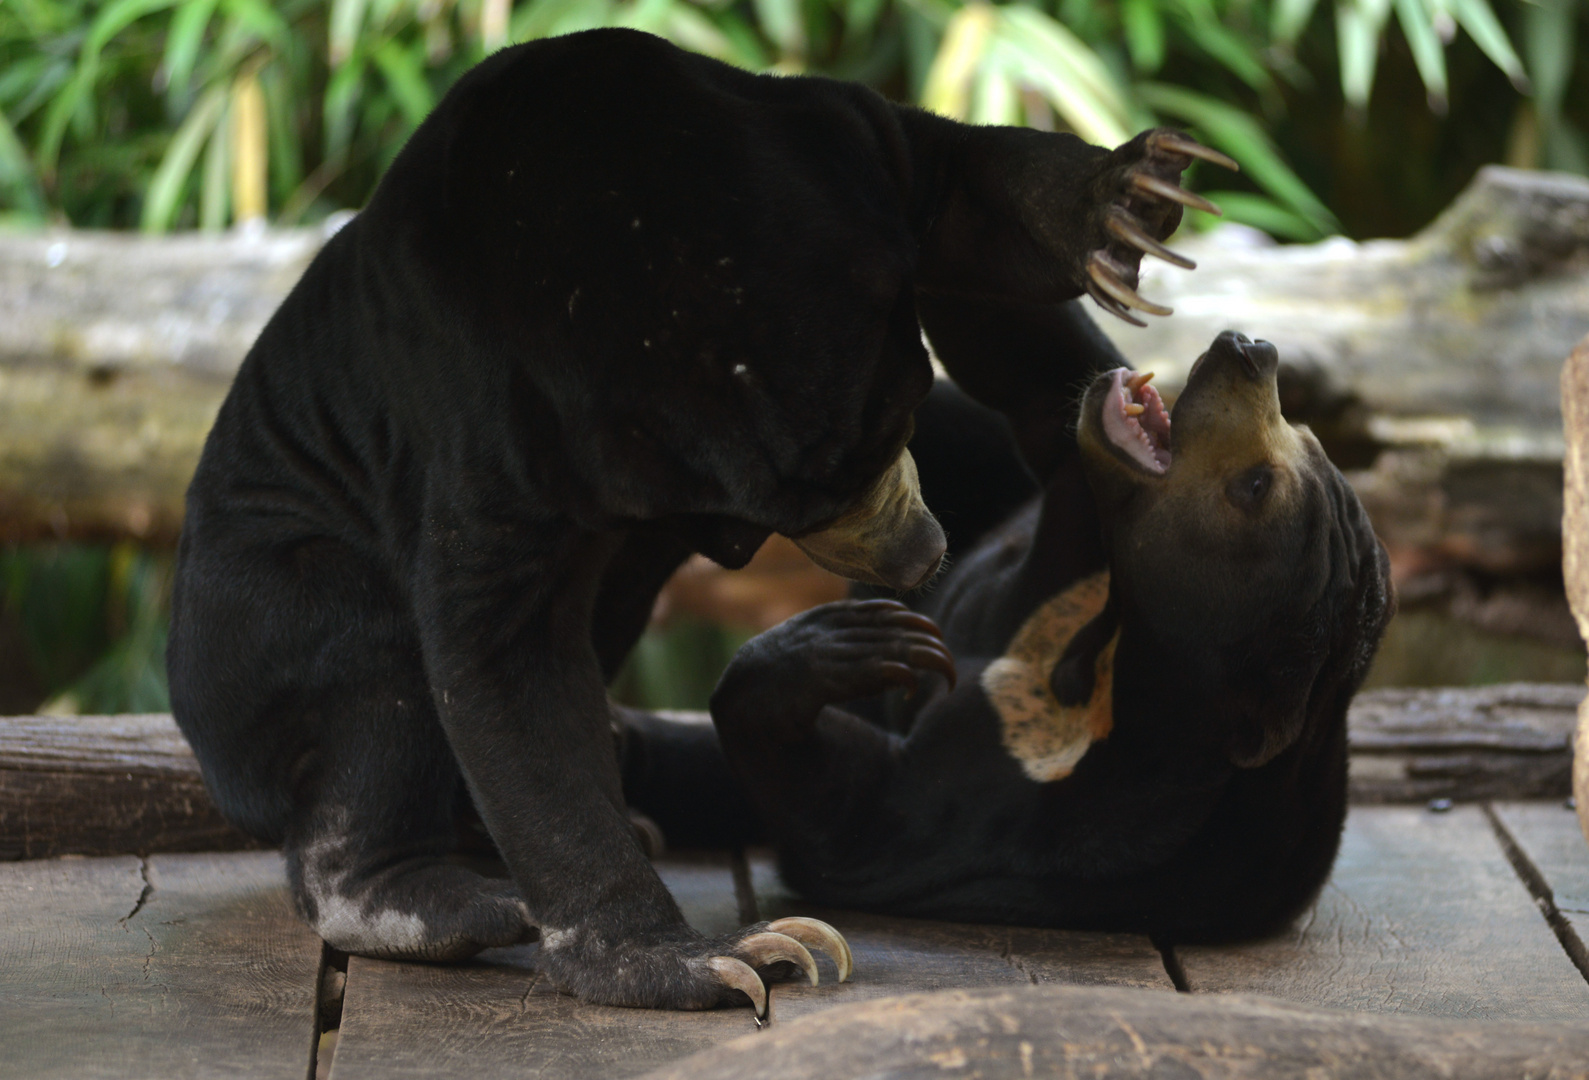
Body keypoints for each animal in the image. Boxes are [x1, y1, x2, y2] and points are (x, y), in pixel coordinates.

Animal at [164, 27, 1226, 1022]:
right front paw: (713, 959)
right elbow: (497, 654)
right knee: (369, 664)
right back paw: (422, 899)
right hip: (254, 619)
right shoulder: (484, 412)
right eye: (760, 518)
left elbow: (951, 183)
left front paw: (1127, 195)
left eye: (901, 419)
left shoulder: (825, 143)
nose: (922, 559)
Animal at [702, 327, 1398, 933]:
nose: (1251, 349)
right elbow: (1043, 415)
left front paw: (845, 647)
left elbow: (860, 820)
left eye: (1254, 488)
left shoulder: (1042, 817)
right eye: (1303, 436)